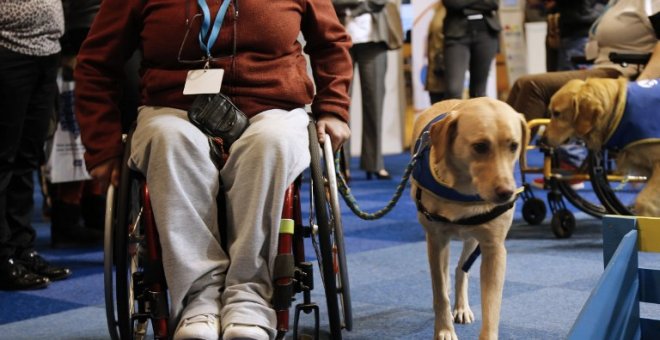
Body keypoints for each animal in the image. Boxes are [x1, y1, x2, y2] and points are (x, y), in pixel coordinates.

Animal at [410, 97, 528, 338]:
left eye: (514, 146)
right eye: (480, 146)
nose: (507, 193)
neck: (463, 192)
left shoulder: (494, 250)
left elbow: (492, 307)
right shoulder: (435, 240)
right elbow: (439, 293)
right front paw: (444, 330)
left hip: (473, 239)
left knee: (460, 269)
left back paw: (462, 306)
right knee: (446, 274)